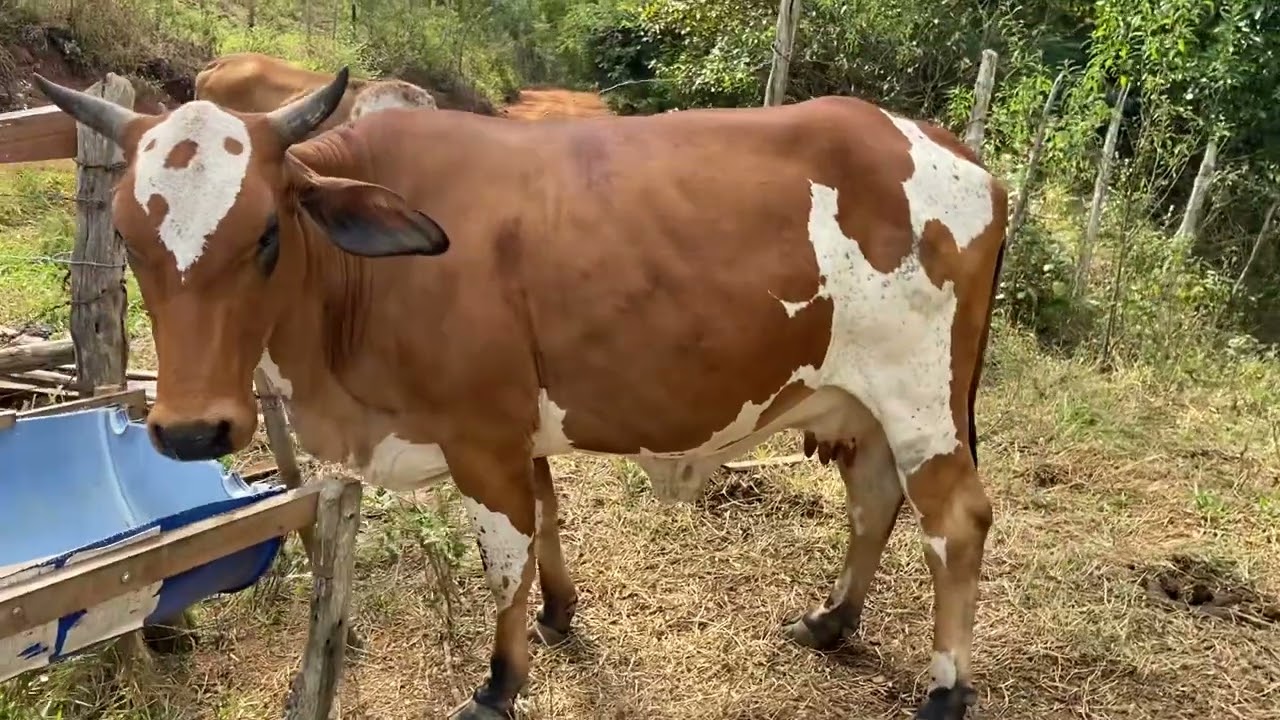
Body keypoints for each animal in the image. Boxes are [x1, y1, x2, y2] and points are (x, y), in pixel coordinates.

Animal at [33, 68, 1008, 720]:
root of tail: (955, 150)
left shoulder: (482, 437)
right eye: (128, 237)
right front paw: (559, 613)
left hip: (921, 403)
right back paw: (833, 620)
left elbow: (504, 556)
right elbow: (546, 522)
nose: (194, 431)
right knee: (874, 500)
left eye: (268, 232)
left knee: (954, 523)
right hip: (865, 405)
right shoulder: (519, 430)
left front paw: (499, 685)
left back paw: (946, 689)